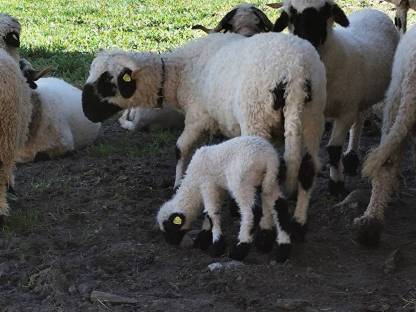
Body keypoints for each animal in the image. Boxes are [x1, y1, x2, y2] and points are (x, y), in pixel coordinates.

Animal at [82, 31, 328, 241]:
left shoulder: (198, 117)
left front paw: (177, 183)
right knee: (307, 169)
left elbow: (180, 148)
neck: (178, 73)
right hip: (312, 119)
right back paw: (299, 224)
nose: (86, 112)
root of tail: (295, 73)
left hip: (256, 116)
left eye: (108, 81)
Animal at [155, 136, 290, 260]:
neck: (193, 181)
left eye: (169, 227)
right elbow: (209, 214)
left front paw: (216, 247)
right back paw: (282, 249)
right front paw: (203, 239)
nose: (171, 243)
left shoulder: (207, 184)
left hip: (242, 182)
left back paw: (240, 249)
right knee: (280, 206)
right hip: (270, 181)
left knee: (251, 213)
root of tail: (269, 158)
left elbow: (211, 213)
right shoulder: (219, 188)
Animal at [270, 0, 400, 195]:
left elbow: (333, 150)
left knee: (360, 118)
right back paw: (351, 158)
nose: (307, 43)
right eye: (291, 14)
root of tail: (372, 11)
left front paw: (336, 184)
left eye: (326, 11)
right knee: (360, 117)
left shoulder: (346, 111)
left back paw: (352, 156)